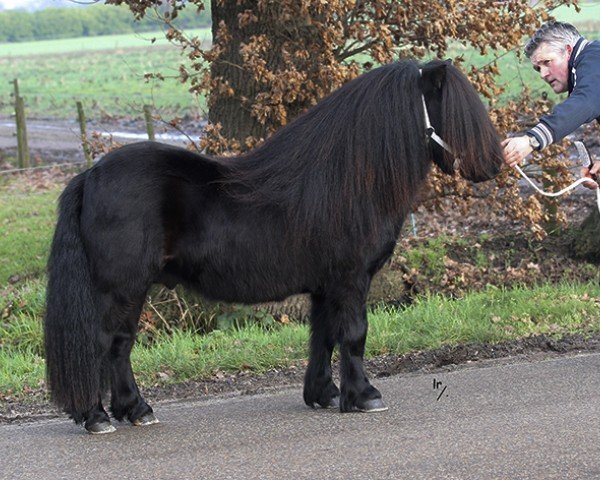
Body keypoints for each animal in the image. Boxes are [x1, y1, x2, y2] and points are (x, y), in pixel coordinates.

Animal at [45, 60, 502, 436]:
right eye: (455, 109)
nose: (495, 165)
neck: (348, 179)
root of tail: (91, 174)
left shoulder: (325, 286)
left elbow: (324, 336)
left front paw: (324, 393)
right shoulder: (350, 280)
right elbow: (354, 334)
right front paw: (365, 396)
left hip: (129, 289)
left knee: (119, 345)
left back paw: (135, 410)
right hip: (120, 288)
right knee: (103, 343)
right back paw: (98, 417)